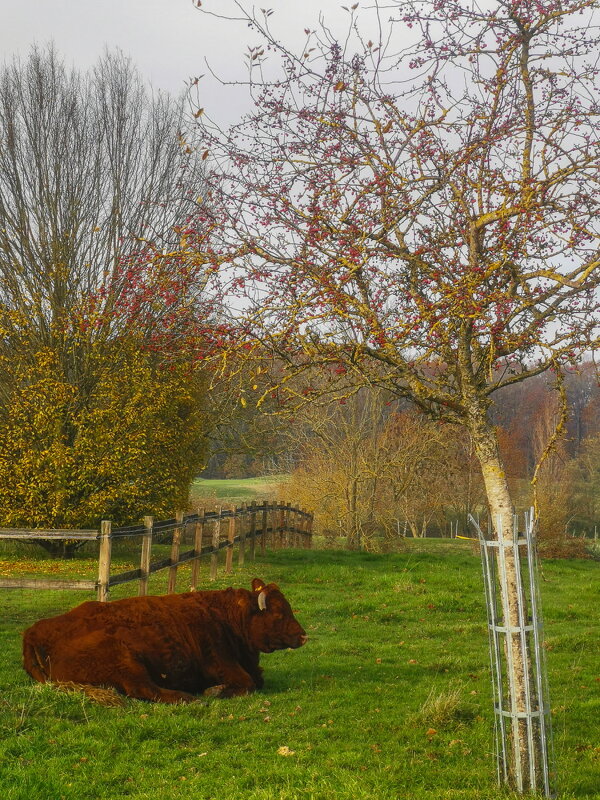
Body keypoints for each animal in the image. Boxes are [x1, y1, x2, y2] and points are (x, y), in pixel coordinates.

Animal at [21, 580, 308, 704]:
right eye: (279, 613)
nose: (303, 635)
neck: (226, 616)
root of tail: (38, 630)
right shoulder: (223, 664)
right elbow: (248, 683)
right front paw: (215, 691)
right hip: (127, 662)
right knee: (144, 689)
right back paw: (186, 697)